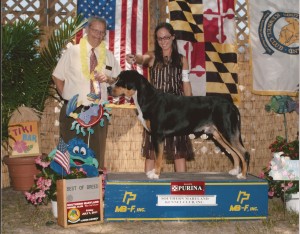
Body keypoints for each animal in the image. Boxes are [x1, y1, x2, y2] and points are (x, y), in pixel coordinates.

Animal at [111, 69, 250, 179]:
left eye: (120, 80)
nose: (108, 88)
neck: (148, 98)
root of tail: (231, 105)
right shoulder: (155, 136)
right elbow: (156, 156)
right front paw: (154, 172)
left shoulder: (158, 135)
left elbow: (158, 157)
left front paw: (155, 174)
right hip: (219, 135)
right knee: (234, 152)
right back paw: (234, 171)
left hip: (227, 132)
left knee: (243, 153)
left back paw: (242, 175)